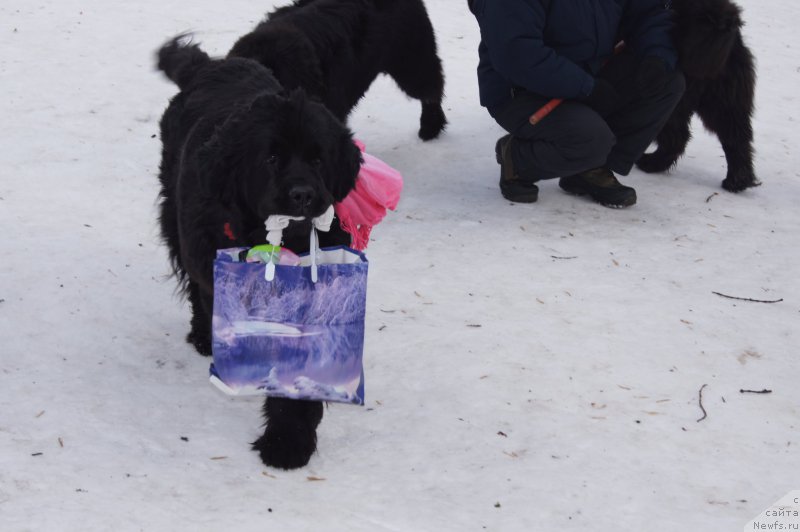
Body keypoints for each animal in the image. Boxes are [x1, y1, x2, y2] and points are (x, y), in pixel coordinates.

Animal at [155, 36, 360, 470]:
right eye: (271, 158)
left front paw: (289, 438)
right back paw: (205, 336)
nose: (302, 194)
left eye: (318, 158)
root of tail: (210, 65)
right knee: (196, 286)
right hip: (179, 227)